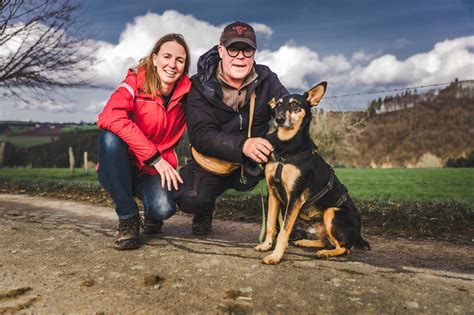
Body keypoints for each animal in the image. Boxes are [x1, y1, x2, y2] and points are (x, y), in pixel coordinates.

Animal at [256, 82, 370, 266]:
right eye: (278, 105)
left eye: (295, 104)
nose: (279, 119)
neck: (287, 147)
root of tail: (358, 233)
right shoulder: (273, 192)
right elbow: (271, 225)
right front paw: (266, 246)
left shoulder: (295, 197)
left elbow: (284, 231)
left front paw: (275, 256)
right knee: (325, 240)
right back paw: (306, 242)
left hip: (331, 212)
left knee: (344, 247)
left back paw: (327, 253)